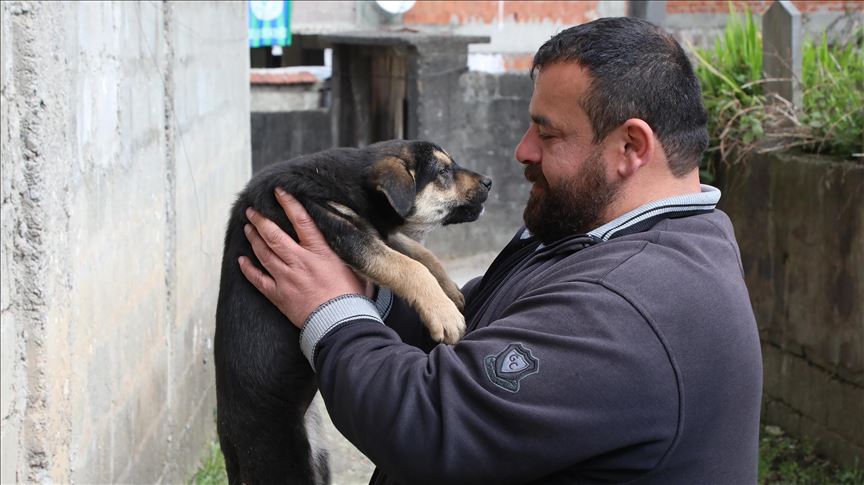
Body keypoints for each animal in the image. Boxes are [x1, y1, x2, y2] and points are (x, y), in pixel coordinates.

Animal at [215, 138, 490, 482]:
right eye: (443, 172)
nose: (489, 182)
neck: (350, 182)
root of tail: (230, 448)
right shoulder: (341, 229)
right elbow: (408, 266)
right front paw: (445, 313)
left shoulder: (376, 231)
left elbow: (420, 253)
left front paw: (451, 292)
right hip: (283, 464)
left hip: (318, 460)